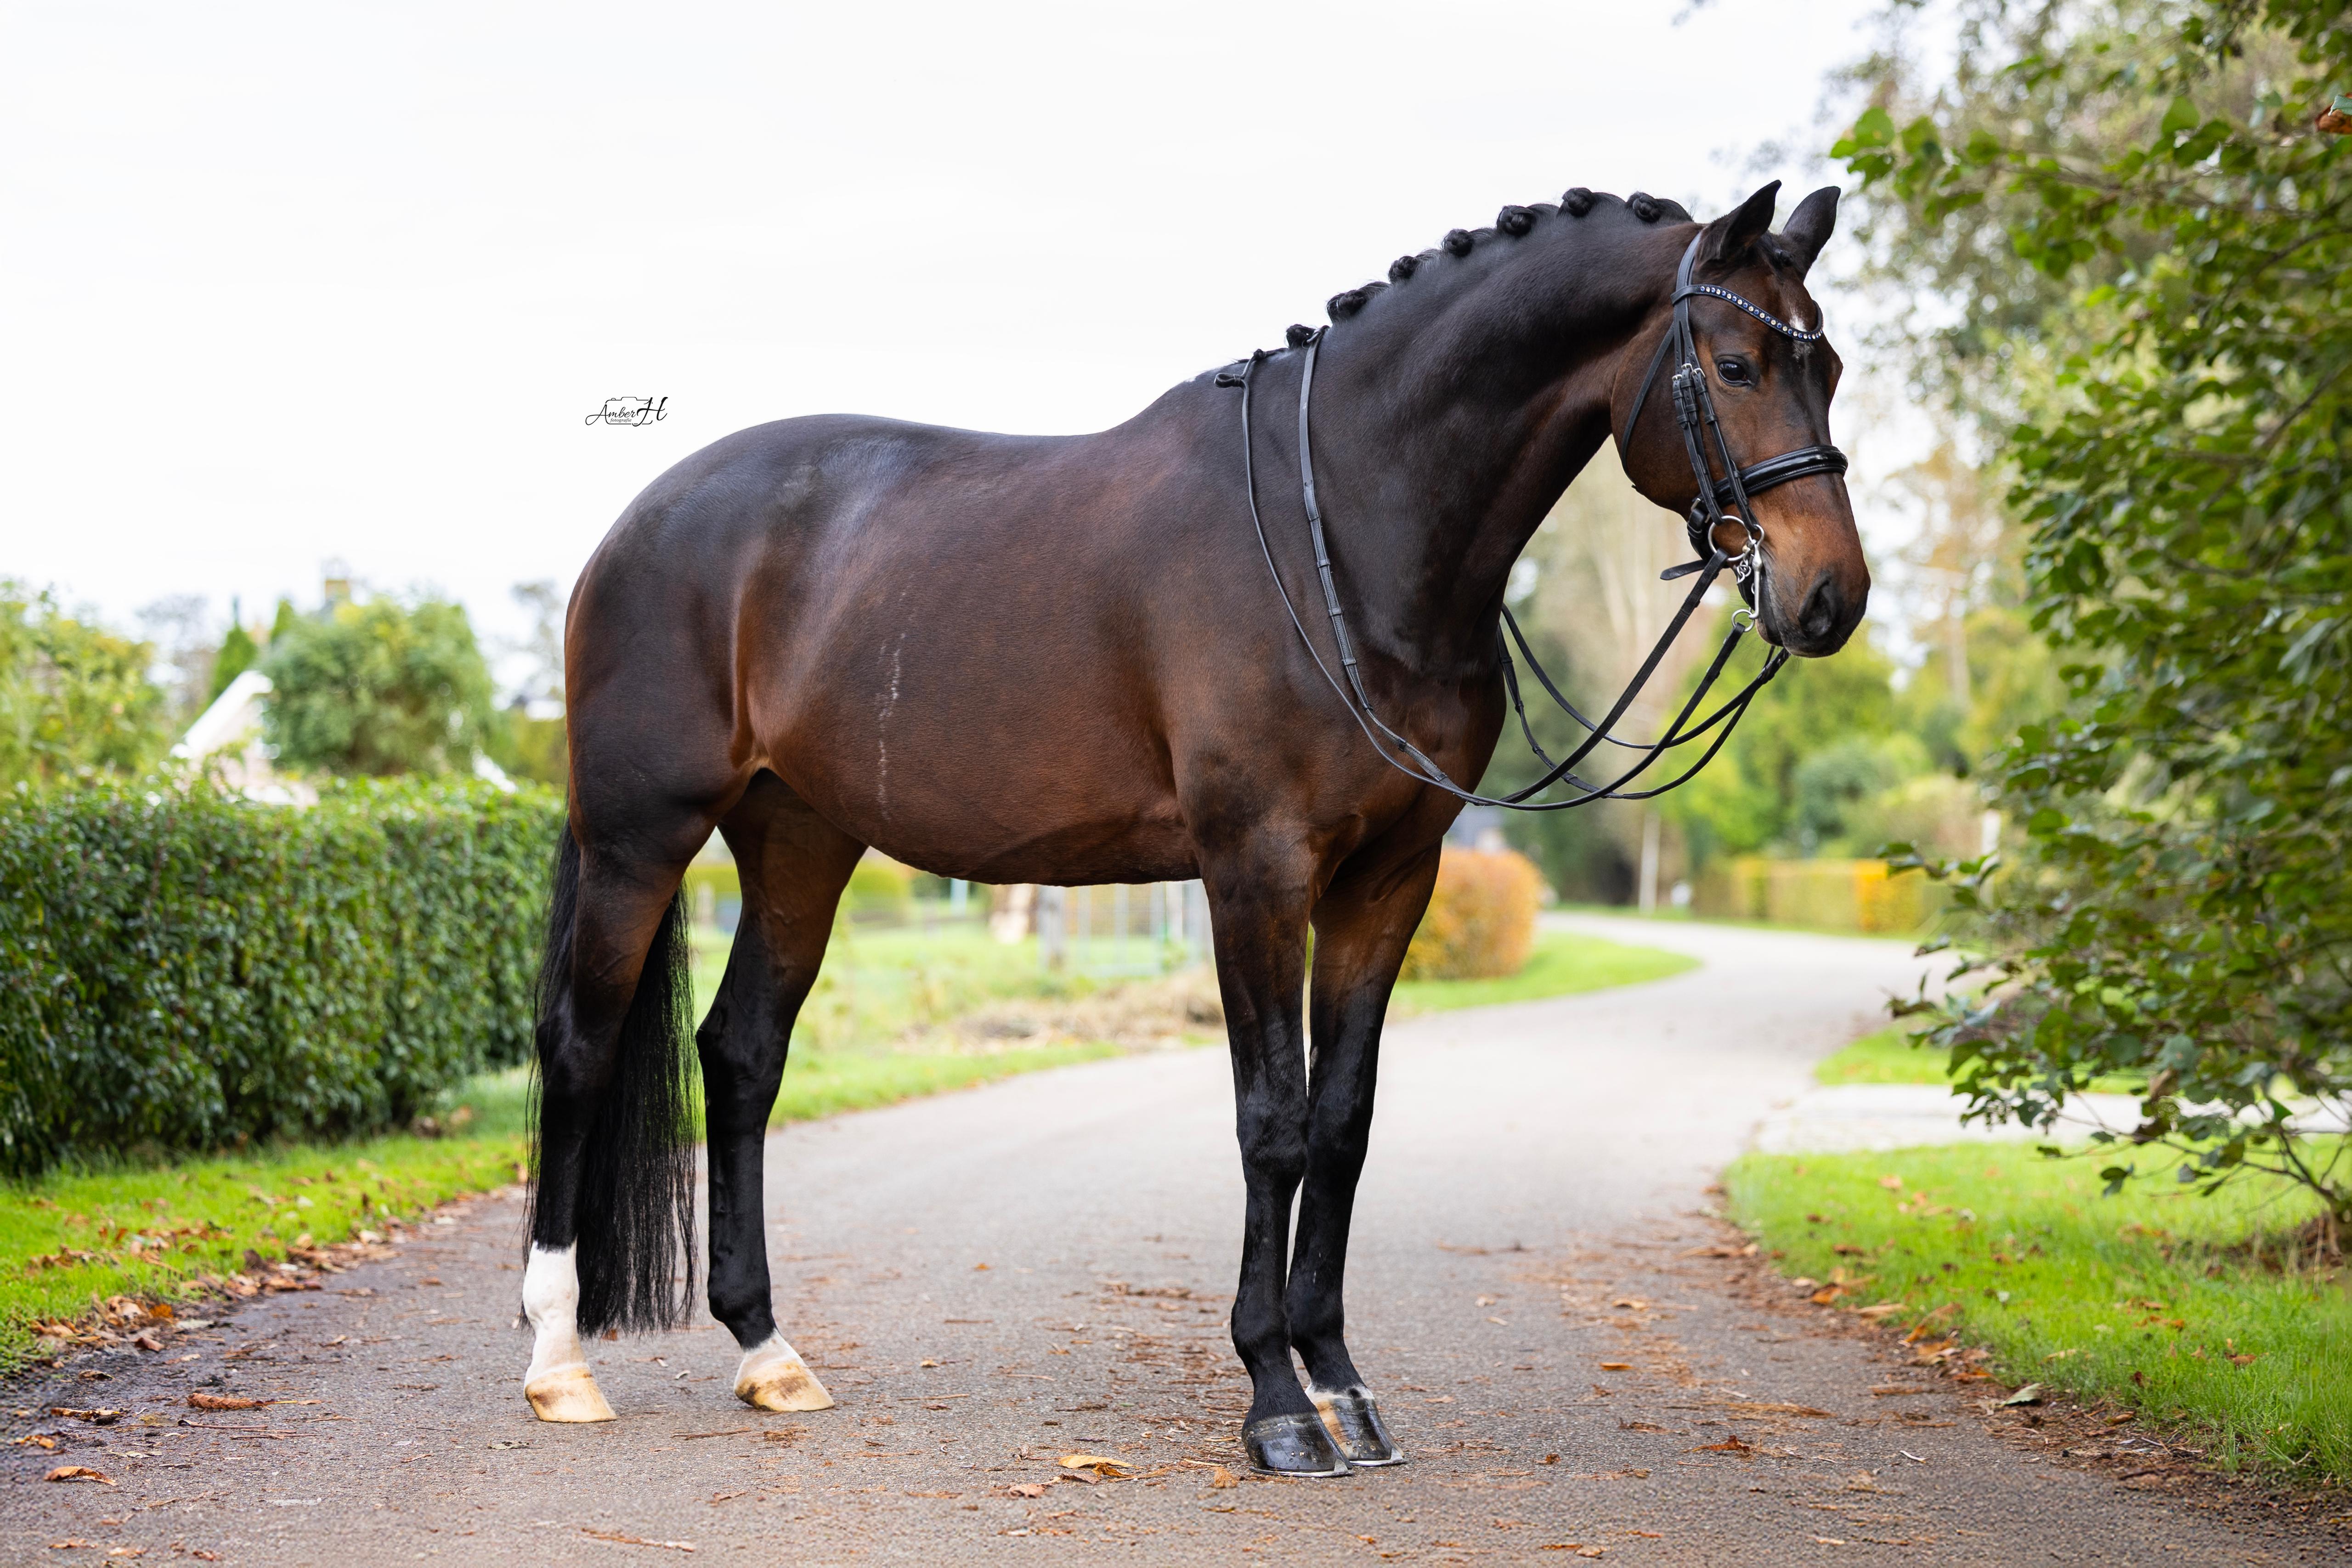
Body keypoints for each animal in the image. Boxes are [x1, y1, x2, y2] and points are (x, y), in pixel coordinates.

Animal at [519, 179, 1865, 1477]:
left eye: (1833, 366)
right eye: (1736, 364)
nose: (1831, 597)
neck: (1347, 537)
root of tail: (637, 523)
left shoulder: (1390, 876)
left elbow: (1343, 1120)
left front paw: (1342, 1380)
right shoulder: (1254, 868)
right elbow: (1272, 1123)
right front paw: (1276, 1400)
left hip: (800, 841)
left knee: (742, 1053)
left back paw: (768, 1350)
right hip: (642, 837)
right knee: (580, 1045)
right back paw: (558, 1360)